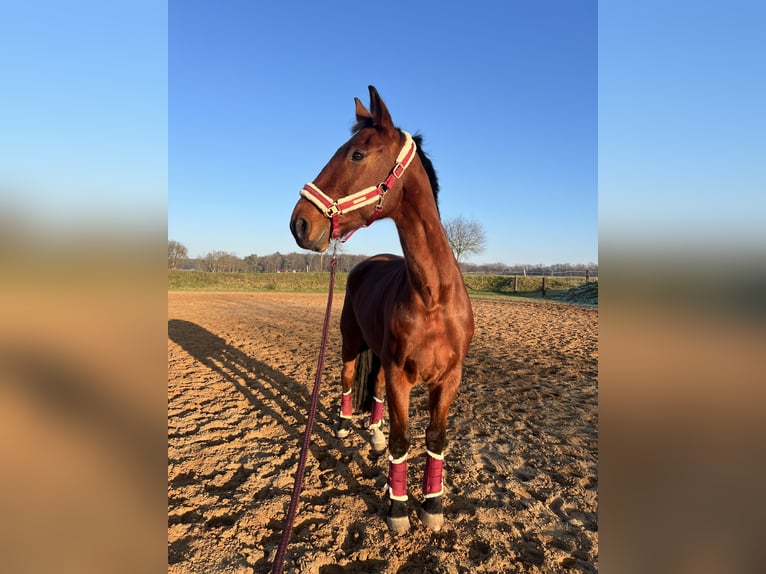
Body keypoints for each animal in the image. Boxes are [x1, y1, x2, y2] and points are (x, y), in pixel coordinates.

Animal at [289, 86, 474, 533]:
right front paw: (397, 508)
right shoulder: (399, 375)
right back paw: (343, 427)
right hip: (350, 341)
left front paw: (432, 506)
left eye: (357, 154)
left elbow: (435, 439)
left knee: (370, 392)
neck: (433, 298)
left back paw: (370, 434)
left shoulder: (449, 379)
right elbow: (402, 439)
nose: (300, 223)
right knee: (347, 381)